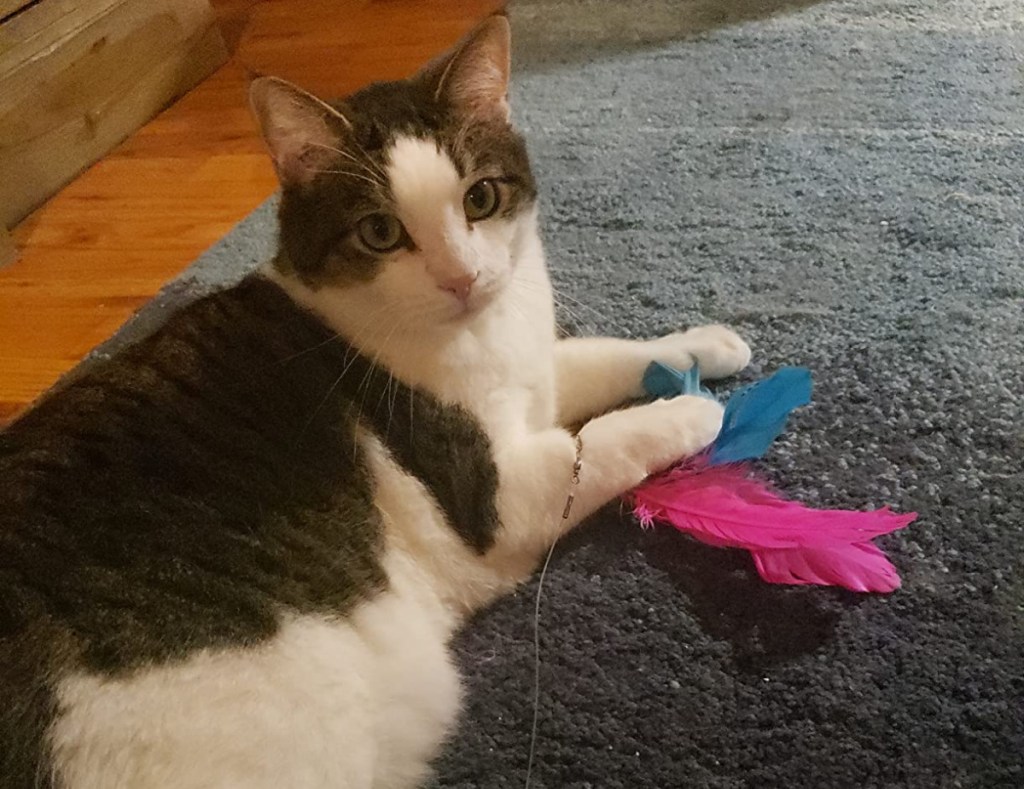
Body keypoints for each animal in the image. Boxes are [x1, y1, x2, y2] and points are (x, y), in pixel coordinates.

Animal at [0, 13, 753, 789]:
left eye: (480, 199)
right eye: (381, 232)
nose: (462, 277)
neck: (480, 331)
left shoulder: (533, 373)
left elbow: (597, 355)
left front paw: (705, 347)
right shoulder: (497, 496)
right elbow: (600, 442)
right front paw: (695, 411)